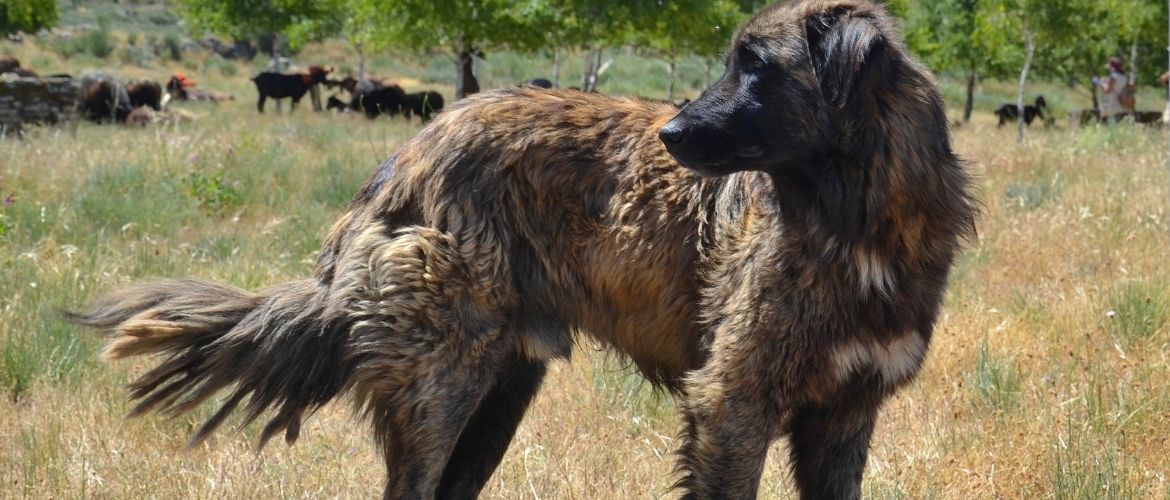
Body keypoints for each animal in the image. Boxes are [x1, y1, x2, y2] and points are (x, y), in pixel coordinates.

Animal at [68, 1, 973, 498]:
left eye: (758, 67)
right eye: (734, 61)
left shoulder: (843, 419)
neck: (857, 222)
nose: (671, 134)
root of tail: (408, 153)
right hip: (444, 383)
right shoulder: (732, 403)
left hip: (499, 391)